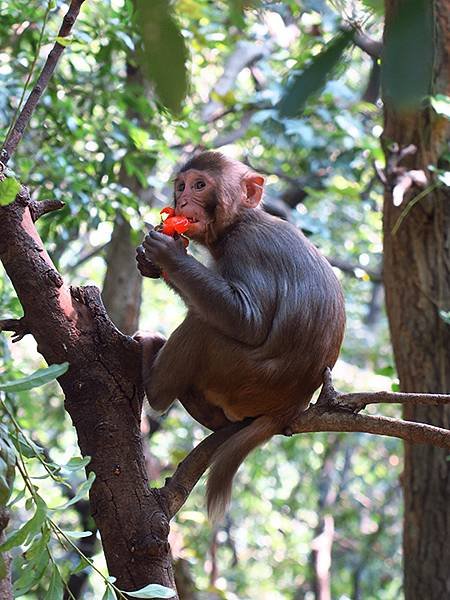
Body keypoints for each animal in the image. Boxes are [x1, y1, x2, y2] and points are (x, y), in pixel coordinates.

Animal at [134, 152, 344, 524]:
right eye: (181, 186)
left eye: (199, 185)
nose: (182, 201)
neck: (239, 222)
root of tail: (291, 407)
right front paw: (150, 262)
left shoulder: (248, 248)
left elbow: (248, 320)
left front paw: (169, 255)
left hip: (240, 377)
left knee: (204, 326)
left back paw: (155, 387)